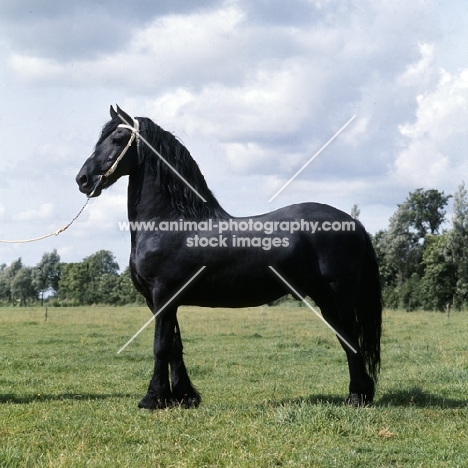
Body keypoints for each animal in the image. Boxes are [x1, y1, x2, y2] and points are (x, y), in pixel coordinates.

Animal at [77, 107, 382, 410]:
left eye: (118, 138)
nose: (83, 180)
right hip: (327, 299)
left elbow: (160, 346)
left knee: (350, 338)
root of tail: (353, 222)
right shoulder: (163, 302)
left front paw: (153, 398)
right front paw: (185, 397)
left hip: (338, 296)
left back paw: (357, 397)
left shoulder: (164, 296)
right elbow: (175, 346)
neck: (169, 223)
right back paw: (362, 394)